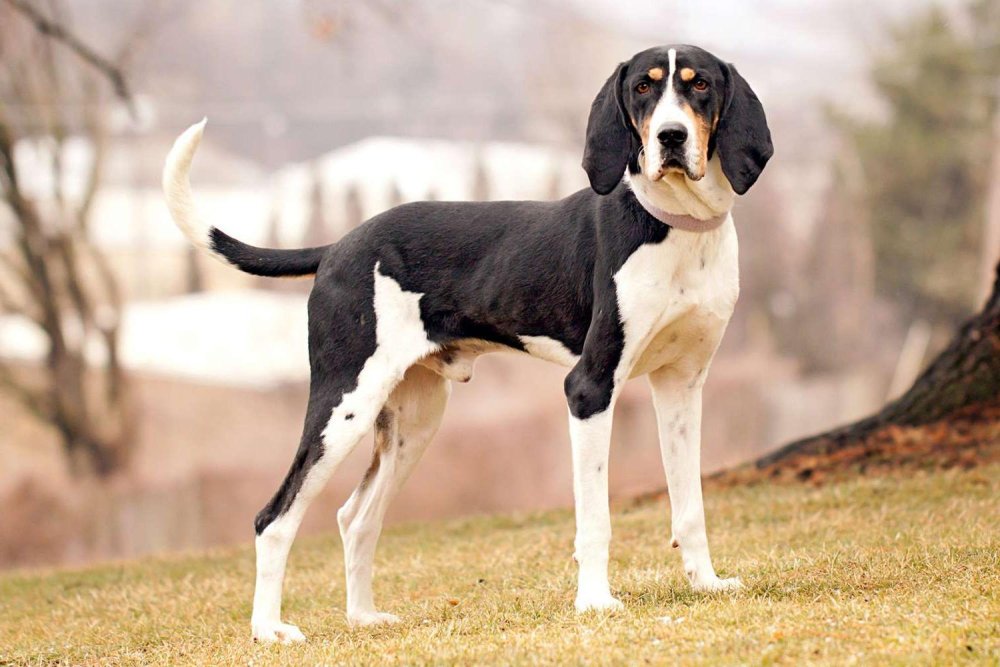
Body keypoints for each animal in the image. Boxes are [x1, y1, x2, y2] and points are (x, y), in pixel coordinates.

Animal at [162, 44, 772, 644]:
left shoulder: (681, 387)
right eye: (643, 87)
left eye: (698, 85)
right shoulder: (590, 389)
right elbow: (595, 517)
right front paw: (596, 603)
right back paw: (269, 630)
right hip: (344, 406)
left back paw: (363, 618)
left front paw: (707, 584)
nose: (670, 136)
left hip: (414, 422)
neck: (675, 227)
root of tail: (337, 246)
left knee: (355, 518)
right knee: (275, 517)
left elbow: (690, 504)